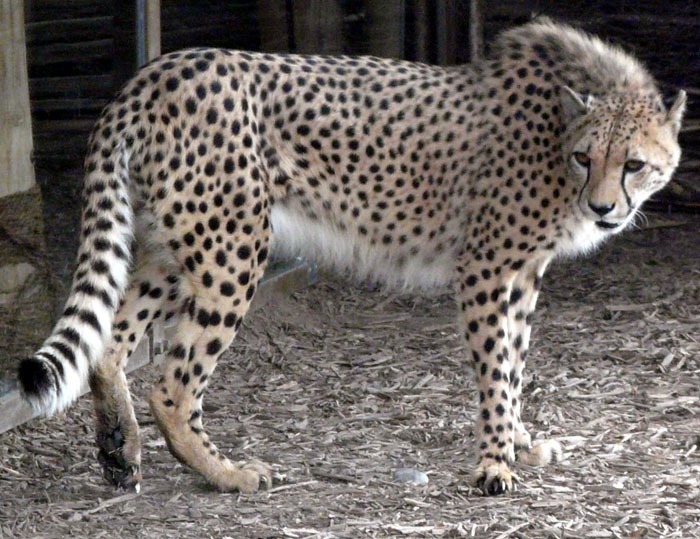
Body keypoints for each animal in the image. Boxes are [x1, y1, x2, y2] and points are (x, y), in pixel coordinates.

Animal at [16, 19, 684, 496]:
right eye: (586, 158)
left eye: (634, 164)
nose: (605, 208)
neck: (556, 138)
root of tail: (154, 70)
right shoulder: (488, 269)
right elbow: (497, 369)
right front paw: (495, 464)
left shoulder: (522, 273)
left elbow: (515, 363)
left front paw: (520, 442)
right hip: (232, 251)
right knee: (174, 388)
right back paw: (228, 475)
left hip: (172, 248)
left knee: (108, 344)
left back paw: (117, 451)